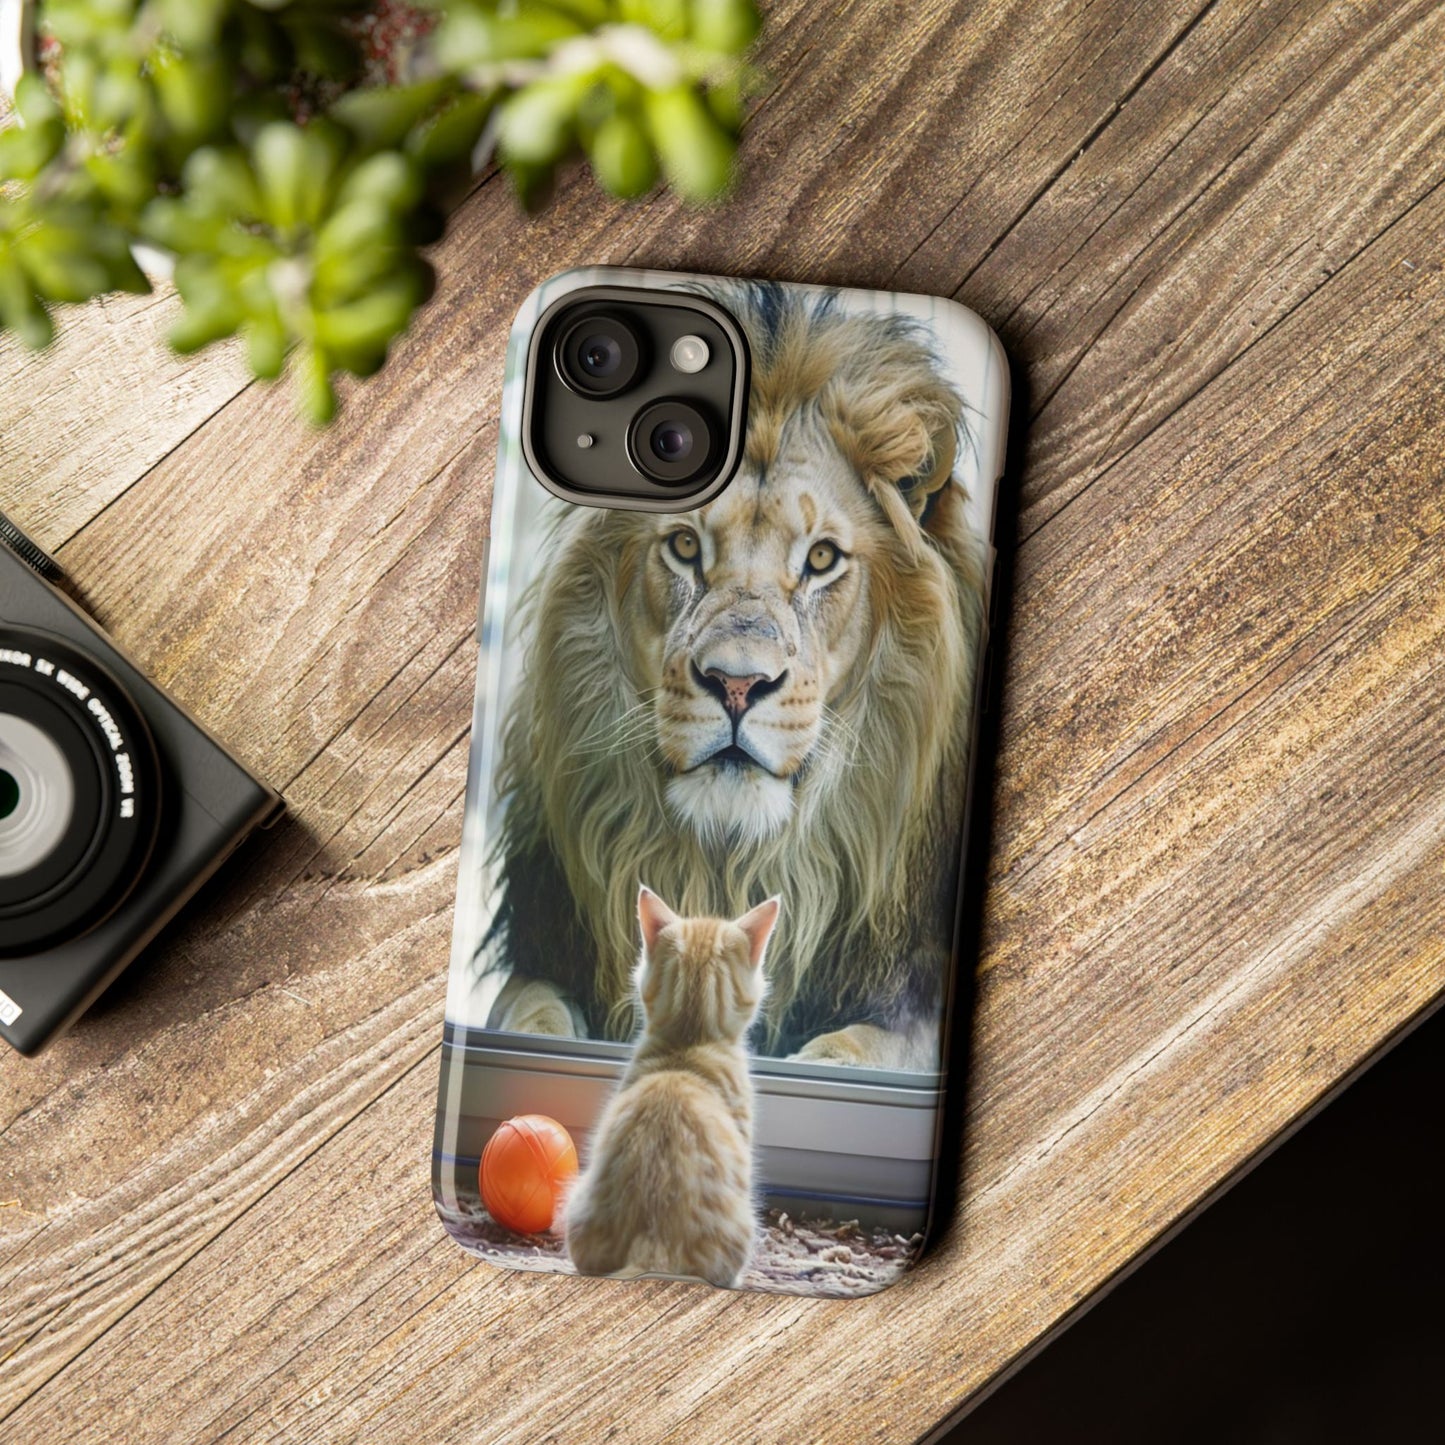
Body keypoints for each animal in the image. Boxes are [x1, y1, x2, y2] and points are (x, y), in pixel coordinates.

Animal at [479, 283, 986, 1070]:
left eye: (820, 558)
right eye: (686, 546)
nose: (737, 685)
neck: (732, 864)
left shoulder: (912, 993)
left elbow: (860, 1050)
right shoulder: (547, 956)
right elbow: (529, 1017)